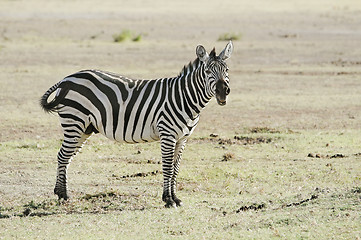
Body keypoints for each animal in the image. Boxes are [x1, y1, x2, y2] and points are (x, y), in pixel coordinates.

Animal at [40, 41, 233, 208]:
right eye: (207, 71)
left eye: (226, 70)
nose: (223, 91)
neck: (184, 98)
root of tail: (66, 79)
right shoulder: (167, 135)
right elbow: (168, 167)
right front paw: (168, 199)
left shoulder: (182, 139)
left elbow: (176, 168)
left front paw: (175, 198)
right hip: (74, 122)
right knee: (63, 156)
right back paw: (63, 195)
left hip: (84, 128)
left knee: (66, 157)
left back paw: (60, 192)